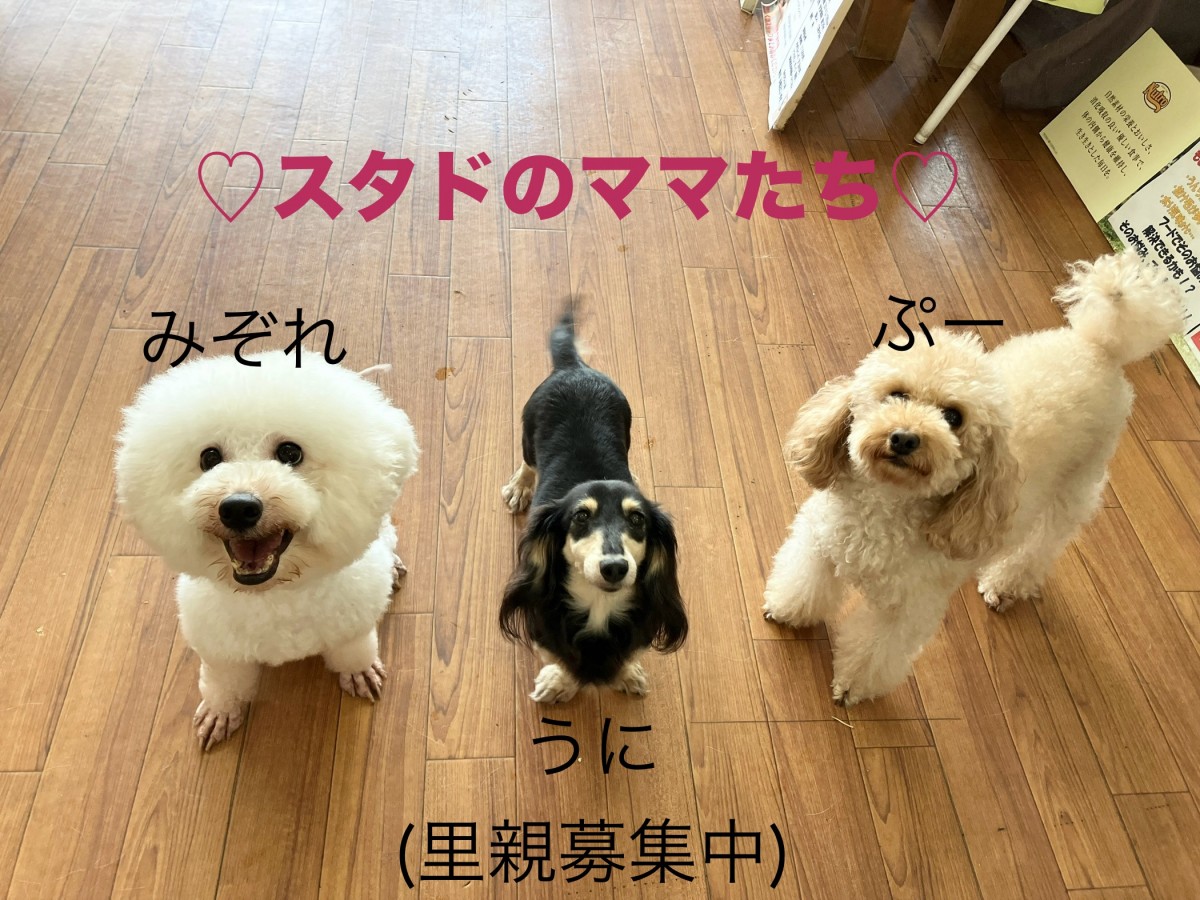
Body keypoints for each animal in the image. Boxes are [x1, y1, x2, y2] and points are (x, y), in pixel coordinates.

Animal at [115, 352, 418, 749]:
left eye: (290, 452)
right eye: (209, 458)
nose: (238, 508)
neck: (273, 593)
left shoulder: (352, 624)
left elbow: (353, 651)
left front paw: (359, 670)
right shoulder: (218, 648)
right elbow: (224, 681)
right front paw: (221, 710)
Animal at [499, 310, 687, 703]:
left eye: (637, 519)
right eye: (581, 516)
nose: (614, 568)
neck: (599, 606)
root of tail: (574, 366)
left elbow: (629, 655)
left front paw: (627, 674)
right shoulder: (544, 633)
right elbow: (559, 658)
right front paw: (559, 683)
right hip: (528, 435)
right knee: (528, 463)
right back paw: (519, 487)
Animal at [762, 252, 1184, 707]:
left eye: (953, 417)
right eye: (897, 394)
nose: (905, 438)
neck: (886, 506)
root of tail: (1099, 347)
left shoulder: (907, 612)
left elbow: (875, 652)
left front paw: (851, 688)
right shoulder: (819, 545)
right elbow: (802, 583)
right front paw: (787, 612)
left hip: (1074, 488)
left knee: (1039, 546)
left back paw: (1005, 584)